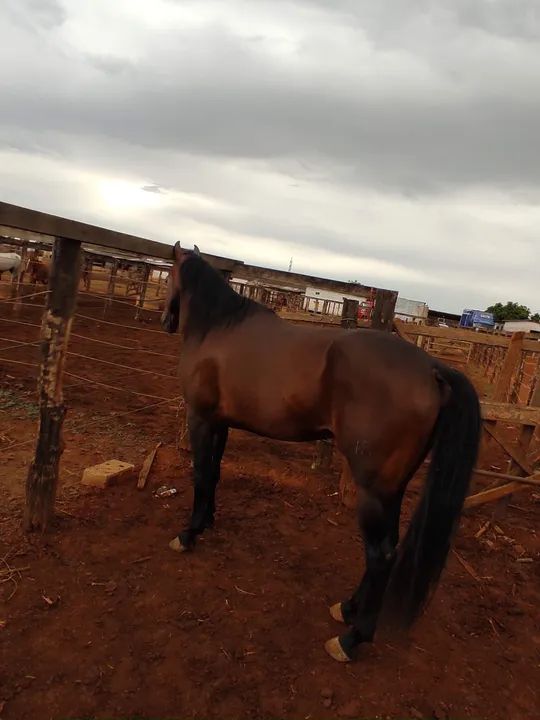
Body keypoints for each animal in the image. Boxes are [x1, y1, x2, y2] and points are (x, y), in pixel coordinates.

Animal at [160, 242, 481, 663]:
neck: (218, 329)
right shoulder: (221, 424)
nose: (165, 319)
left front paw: (188, 534)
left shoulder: (200, 419)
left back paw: (351, 639)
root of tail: (432, 369)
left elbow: (200, 473)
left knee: (381, 554)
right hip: (390, 489)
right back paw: (347, 609)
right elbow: (213, 473)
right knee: (388, 549)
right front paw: (208, 522)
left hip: (373, 489)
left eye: (169, 272)